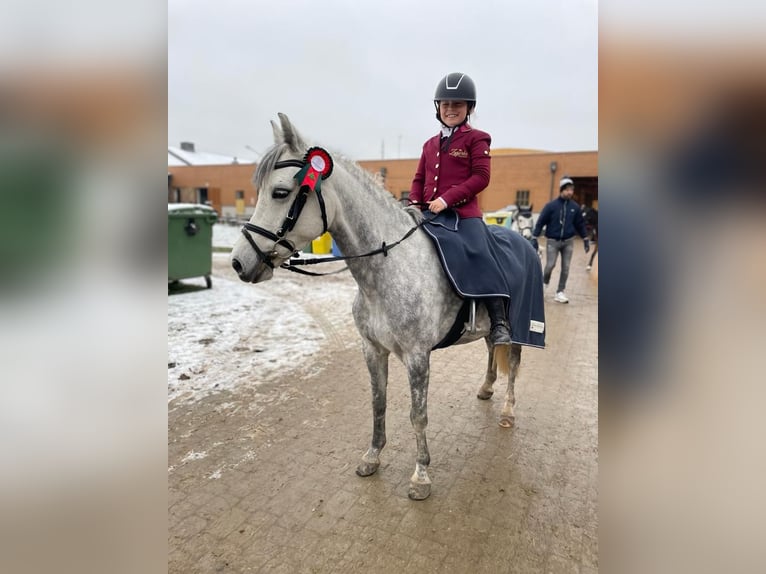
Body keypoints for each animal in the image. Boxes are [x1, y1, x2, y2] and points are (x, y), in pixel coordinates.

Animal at [231, 113, 524, 500]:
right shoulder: (372, 349)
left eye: (280, 192)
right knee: (493, 348)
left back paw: (507, 410)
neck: (388, 267)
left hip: (521, 328)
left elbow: (418, 414)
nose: (238, 262)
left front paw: (421, 475)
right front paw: (372, 456)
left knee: (514, 364)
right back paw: (487, 389)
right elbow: (378, 402)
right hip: (489, 327)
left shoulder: (417, 356)